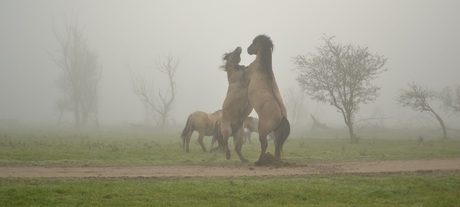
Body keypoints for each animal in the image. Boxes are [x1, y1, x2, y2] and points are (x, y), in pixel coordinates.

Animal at [248, 34, 292, 166]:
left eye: (254, 43)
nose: (248, 49)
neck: (262, 67)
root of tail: (282, 117)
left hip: (262, 132)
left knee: (264, 145)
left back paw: (259, 162)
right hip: (276, 134)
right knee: (276, 146)